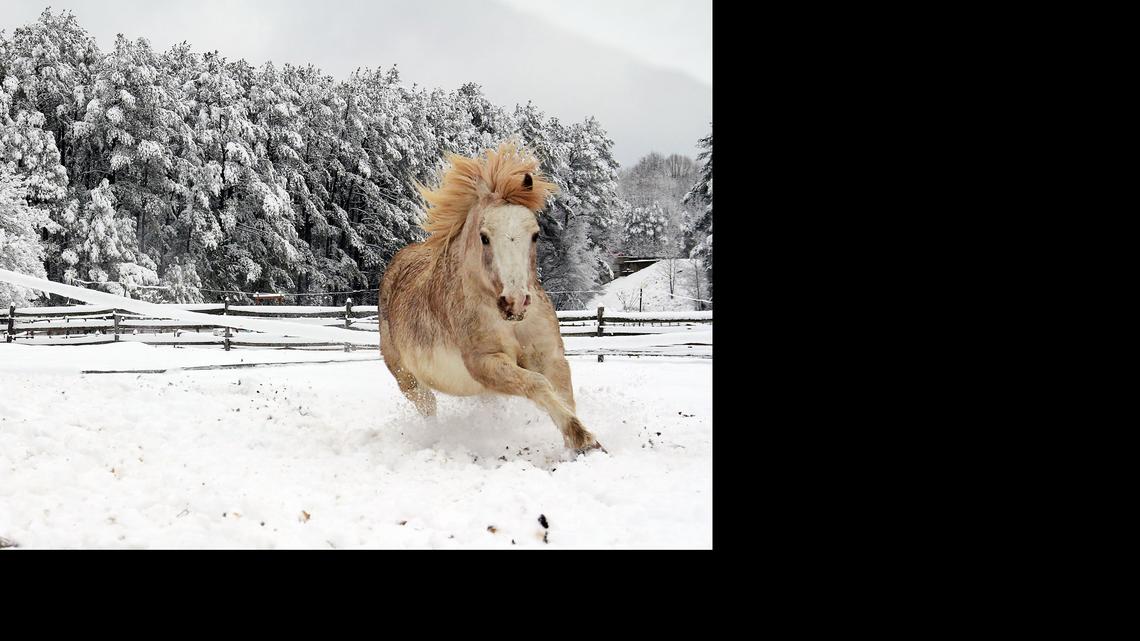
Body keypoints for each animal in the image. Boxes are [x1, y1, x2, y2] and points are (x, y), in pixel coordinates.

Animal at [378, 143, 605, 454]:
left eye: (535, 234)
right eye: (484, 236)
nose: (515, 301)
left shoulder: (549, 355)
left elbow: (563, 395)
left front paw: (578, 441)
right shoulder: (485, 362)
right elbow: (538, 385)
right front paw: (583, 439)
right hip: (408, 380)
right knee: (429, 408)